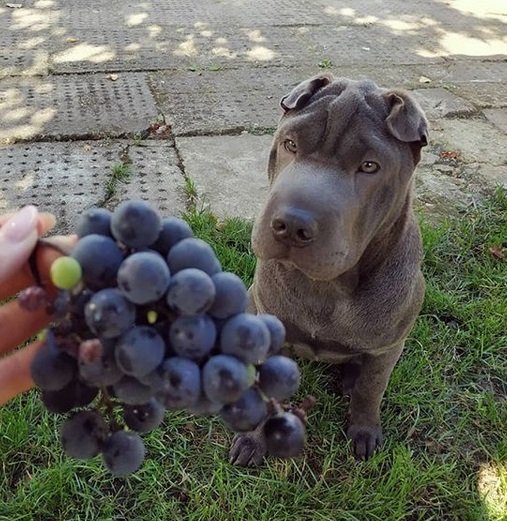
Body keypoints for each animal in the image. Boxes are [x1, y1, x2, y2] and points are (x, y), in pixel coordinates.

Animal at [232, 72, 430, 464]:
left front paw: (365, 431)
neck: (329, 286)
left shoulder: (388, 346)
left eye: (369, 166)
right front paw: (255, 438)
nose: (291, 225)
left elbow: (371, 391)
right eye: (291, 144)